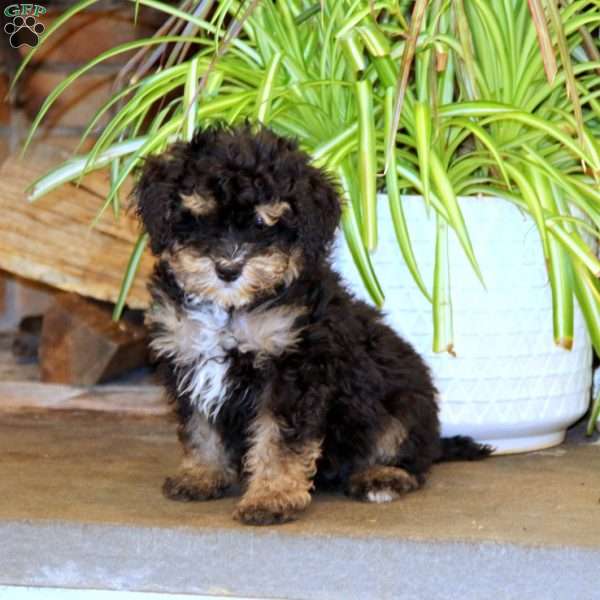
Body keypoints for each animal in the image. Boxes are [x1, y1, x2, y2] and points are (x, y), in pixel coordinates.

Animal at [137, 125, 492, 524]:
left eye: (261, 222)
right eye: (200, 218)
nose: (228, 270)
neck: (231, 309)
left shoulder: (292, 370)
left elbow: (278, 441)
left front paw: (270, 497)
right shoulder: (188, 358)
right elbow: (200, 427)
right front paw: (201, 474)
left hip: (403, 403)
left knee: (408, 453)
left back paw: (381, 476)